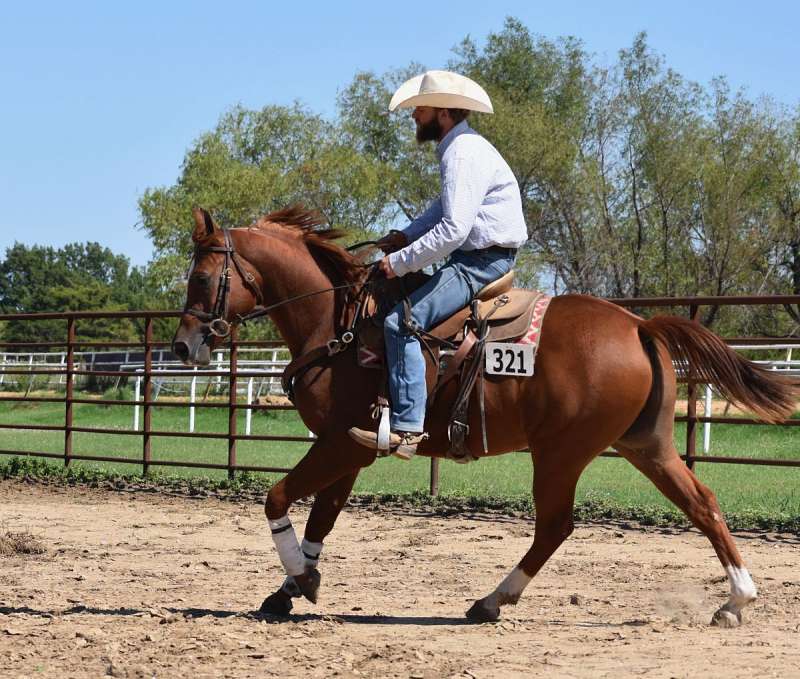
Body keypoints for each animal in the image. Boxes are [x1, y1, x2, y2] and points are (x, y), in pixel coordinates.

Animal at [172, 206, 796, 628]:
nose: (182, 346)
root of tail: (639, 326)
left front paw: (301, 580)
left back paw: (491, 601)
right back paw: (736, 601)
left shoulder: (339, 444)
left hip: (561, 452)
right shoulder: (348, 447)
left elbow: (278, 497)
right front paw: (290, 588)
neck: (340, 324)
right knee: (702, 503)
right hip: (647, 446)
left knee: (555, 526)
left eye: (200, 278)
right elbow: (321, 519)